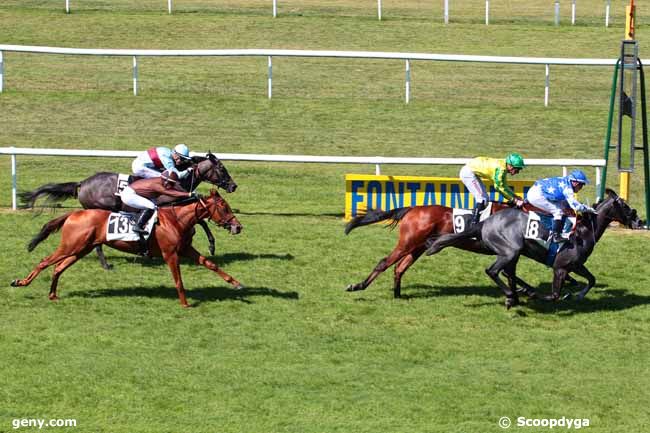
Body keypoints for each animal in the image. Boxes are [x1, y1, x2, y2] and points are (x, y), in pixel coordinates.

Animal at [9, 190, 243, 308]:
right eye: (224, 207)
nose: (238, 226)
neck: (176, 219)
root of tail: (74, 214)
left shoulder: (185, 249)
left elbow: (211, 264)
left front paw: (237, 284)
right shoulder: (170, 254)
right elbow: (178, 280)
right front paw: (185, 304)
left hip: (81, 249)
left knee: (58, 268)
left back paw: (53, 295)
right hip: (71, 246)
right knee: (45, 262)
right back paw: (20, 282)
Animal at [19, 150, 238, 268]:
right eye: (222, 169)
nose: (233, 186)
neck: (177, 179)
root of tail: (83, 183)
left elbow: (200, 218)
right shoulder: (168, 205)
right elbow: (200, 219)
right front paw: (212, 245)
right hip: (98, 211)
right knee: (98, 244)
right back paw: (106, 265)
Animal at [344, 202, 556, 296]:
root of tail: (412, 209)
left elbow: (511, 274)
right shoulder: (507, 250)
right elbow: (507, 272)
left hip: (417, 247)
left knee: (399, 268)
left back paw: (398, 295)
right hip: (407, 243)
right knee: (384, 263)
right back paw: (358, 286)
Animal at [422, 188, 640, 308]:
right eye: (625, 206)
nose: (639, 220)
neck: (583, 230)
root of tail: (485, 222)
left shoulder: (576, 265)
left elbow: (592, 279)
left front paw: (578, 295)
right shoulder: (561, 267)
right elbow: (554, 295)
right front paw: (535, 294)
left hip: (513, 253)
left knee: (507, 273)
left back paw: (517, 294)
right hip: (511, 250)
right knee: (493, 271)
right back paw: (513, 295)